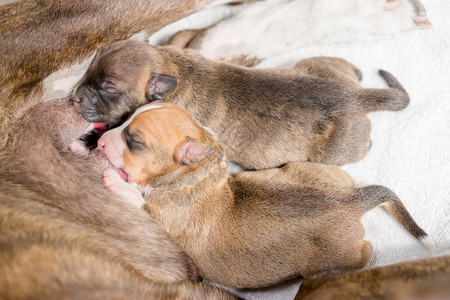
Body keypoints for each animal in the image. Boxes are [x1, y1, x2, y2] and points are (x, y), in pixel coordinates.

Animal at [72, 40, 410, 169]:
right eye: (88, 70)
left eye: (108, 88)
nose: (74, 96)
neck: (173, 68)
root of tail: (355, 96)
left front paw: (88, 142)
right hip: (320, 64)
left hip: (333, 152)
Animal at [95, 102, 432, 288]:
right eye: (125, 118)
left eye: (134, 141)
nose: (98, 141)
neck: (193, 174)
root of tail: (350, 202)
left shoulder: (162, 215)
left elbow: (139, 200)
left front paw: (115, 179)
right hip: (319, 171)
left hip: (339, 258)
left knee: (363, 253)